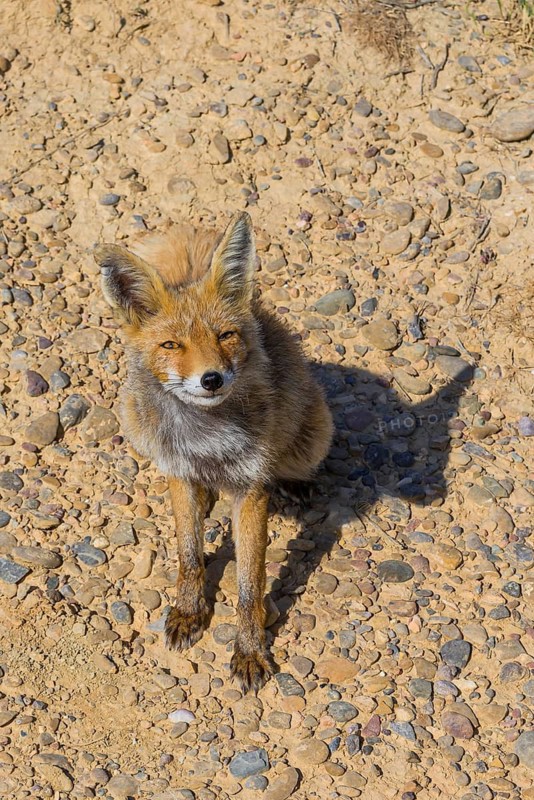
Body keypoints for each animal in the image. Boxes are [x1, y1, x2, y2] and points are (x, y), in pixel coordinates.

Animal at [94, 212, 334, 692]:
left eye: (225, 336)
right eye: (172, 345)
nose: (212, 379)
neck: (206, 439)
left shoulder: (252, 489)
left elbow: (249, 586)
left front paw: (250, 651)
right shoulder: (179, 472)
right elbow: (188, 557)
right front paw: (189, 612)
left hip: (312, 437)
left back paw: (297, 483)